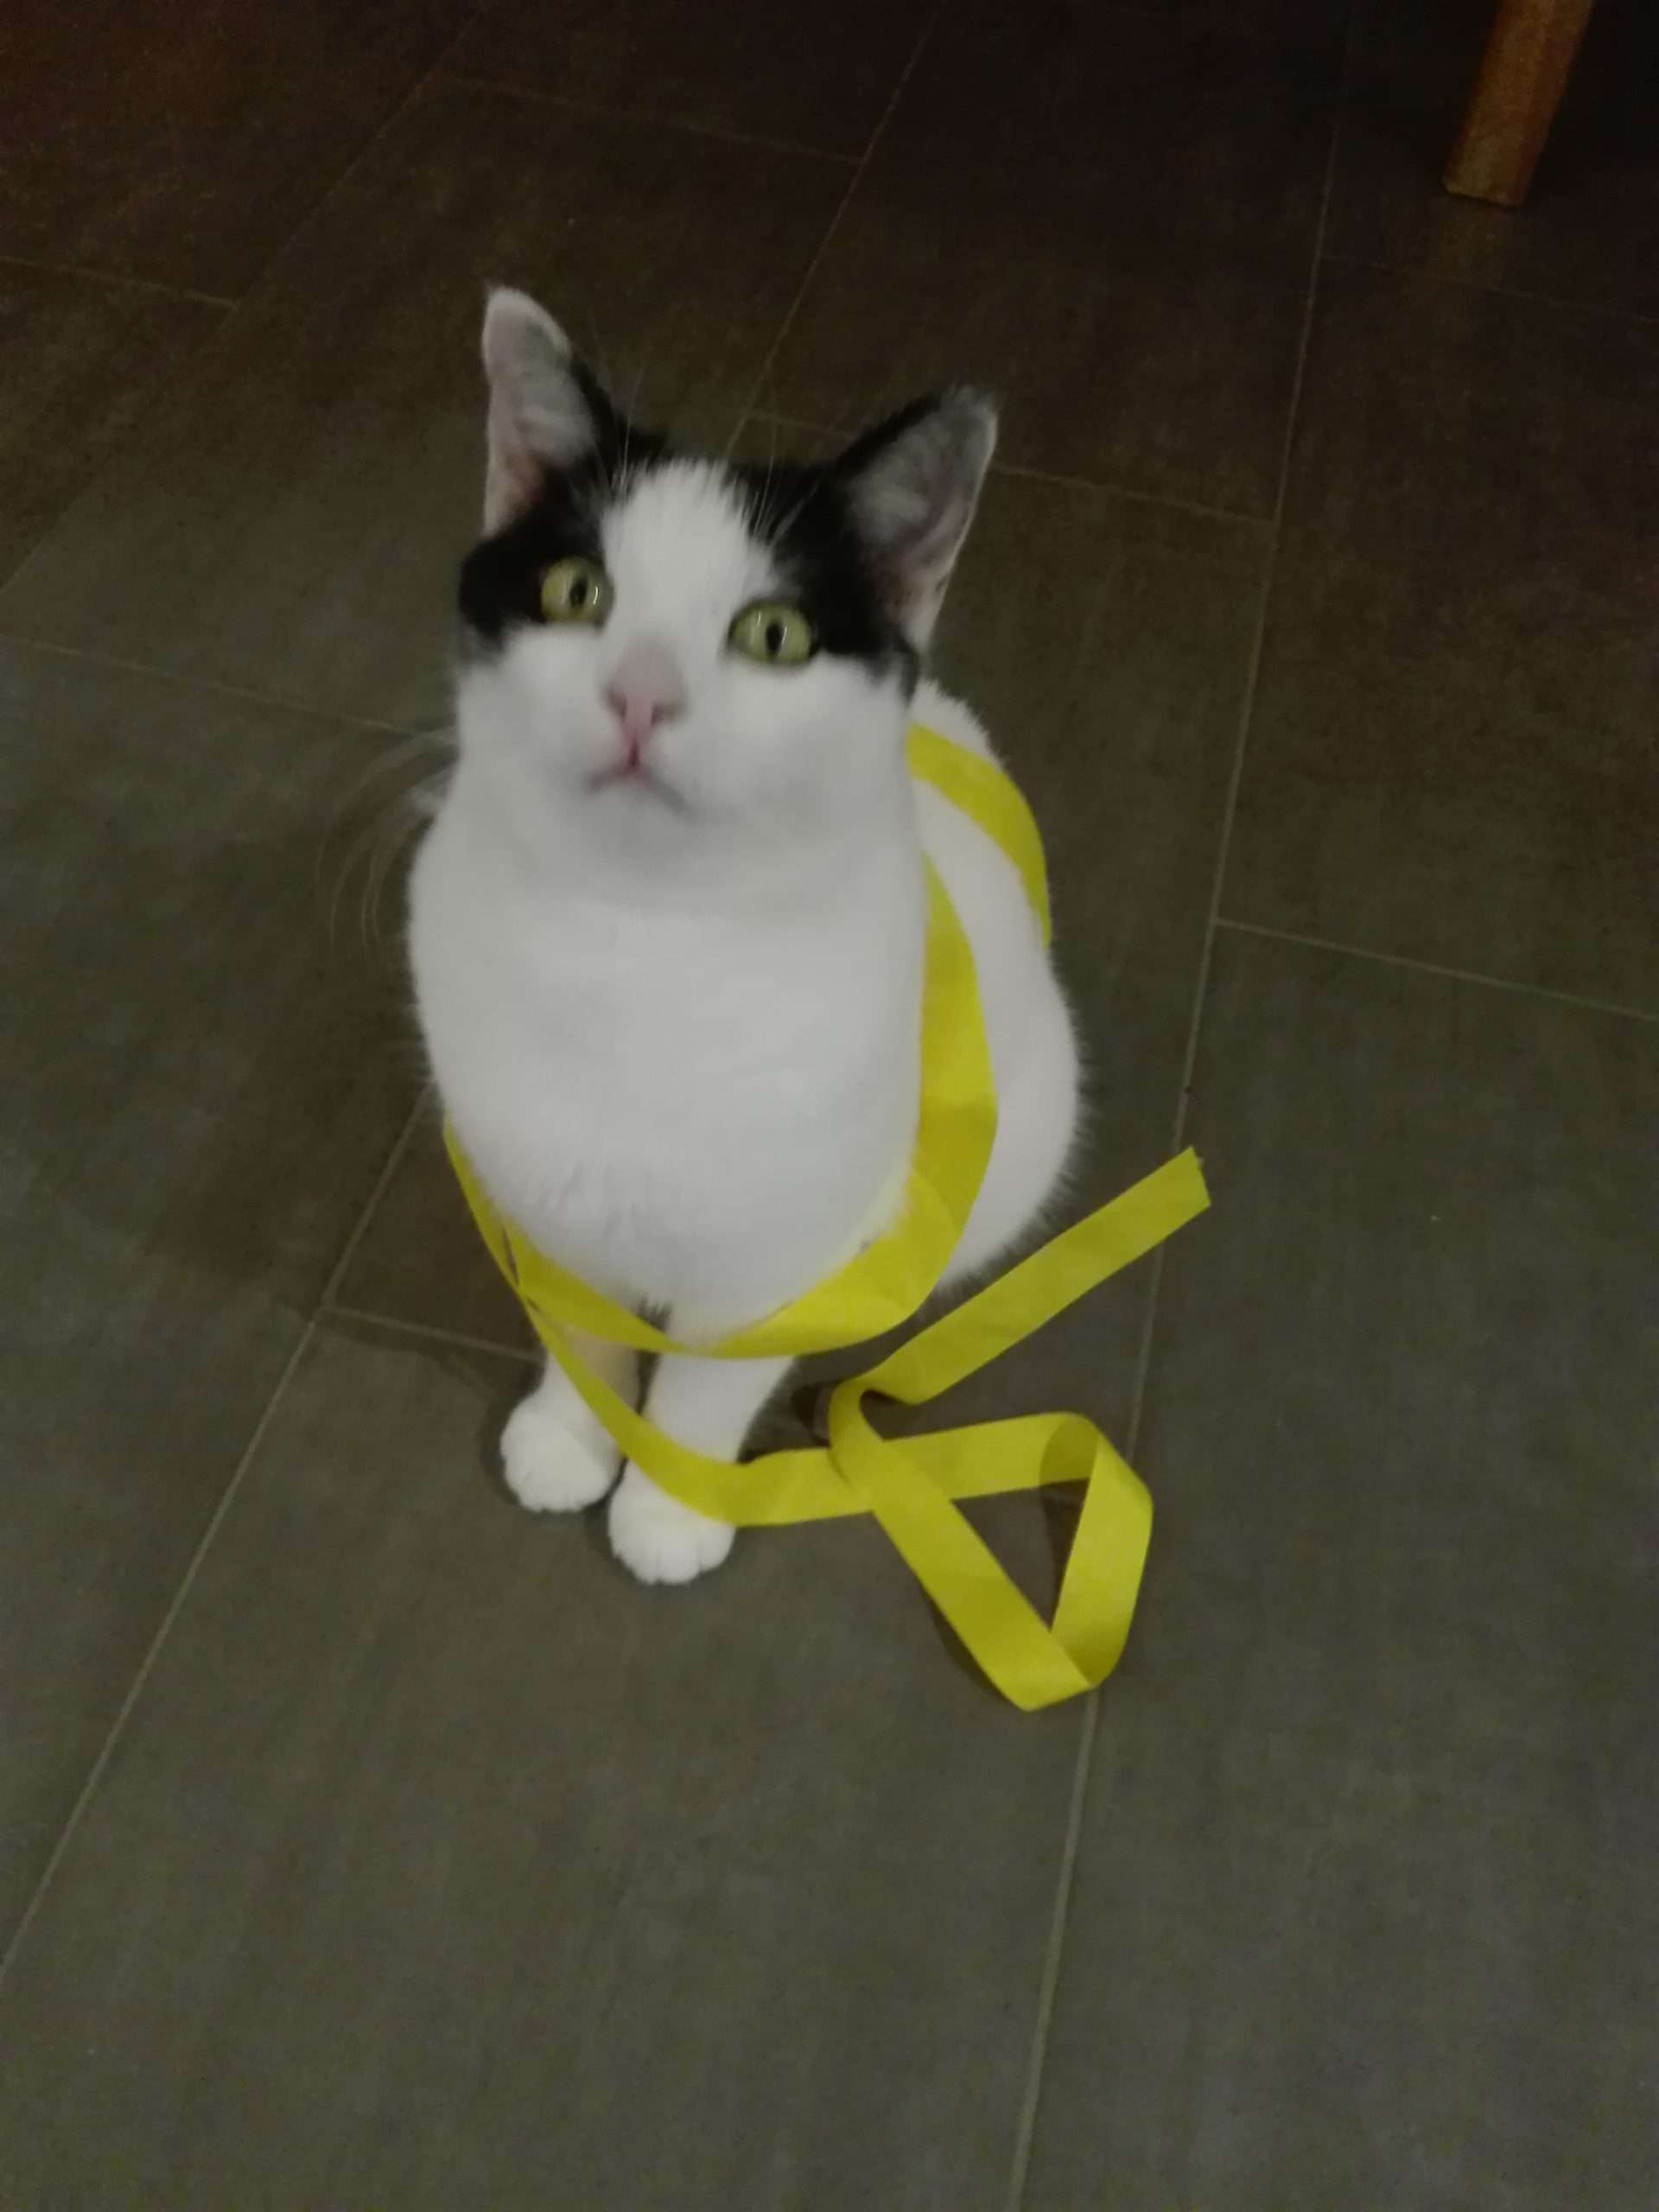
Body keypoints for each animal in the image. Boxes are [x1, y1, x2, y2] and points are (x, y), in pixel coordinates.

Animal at [408, 288, 1081, 1587]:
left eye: (772, 635)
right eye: (577, 593)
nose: (641, 695)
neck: (635, 941)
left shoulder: (791, 1258)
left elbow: (705, 1393)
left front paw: (669, 1506)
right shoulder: (545, 1209)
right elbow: (583, 1343)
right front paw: (570, 1439)